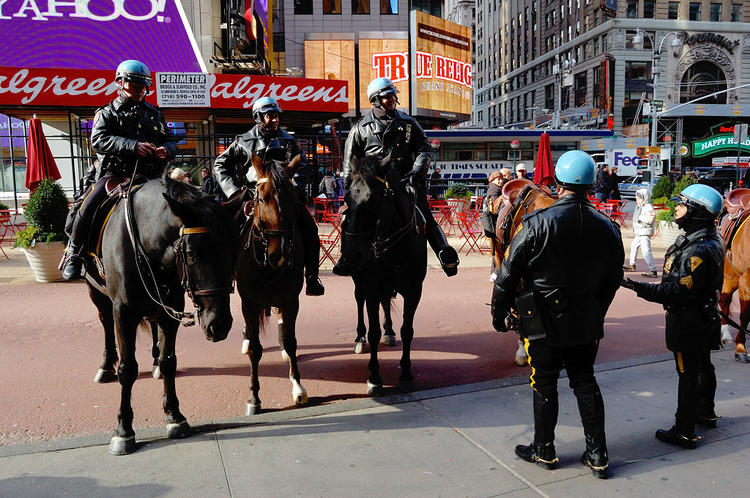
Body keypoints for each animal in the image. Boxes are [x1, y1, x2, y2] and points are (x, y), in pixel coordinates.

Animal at [82, 176, 236, 456]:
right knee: (105, 323)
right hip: (96, 292)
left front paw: (175, 416)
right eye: (193, 254)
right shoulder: (123, 312)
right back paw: (106, 365)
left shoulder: (171, 309)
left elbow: (169, 361)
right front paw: (123, 429)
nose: (219, 325)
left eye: (234, 252)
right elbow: (128, 369)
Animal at [232, 153, 308, 416]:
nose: (279, 254)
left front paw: (298, 387)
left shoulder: (290, 300)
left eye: (293, 200)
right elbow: (255, 349)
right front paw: (254, 397)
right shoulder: (249, 302)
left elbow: (292, 342)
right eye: (261, 197)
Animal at [348, 158, 428, 394]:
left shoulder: (414, 291)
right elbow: (373, 332)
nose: (353, 254)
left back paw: (389, 331)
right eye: (347, 198)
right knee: (359, 301)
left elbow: (407, 330)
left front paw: (406, 372)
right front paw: (374, 377)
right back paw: (359, 338)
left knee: (386, 303)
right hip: (360, 283)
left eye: (371, 200)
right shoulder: (372, 287)